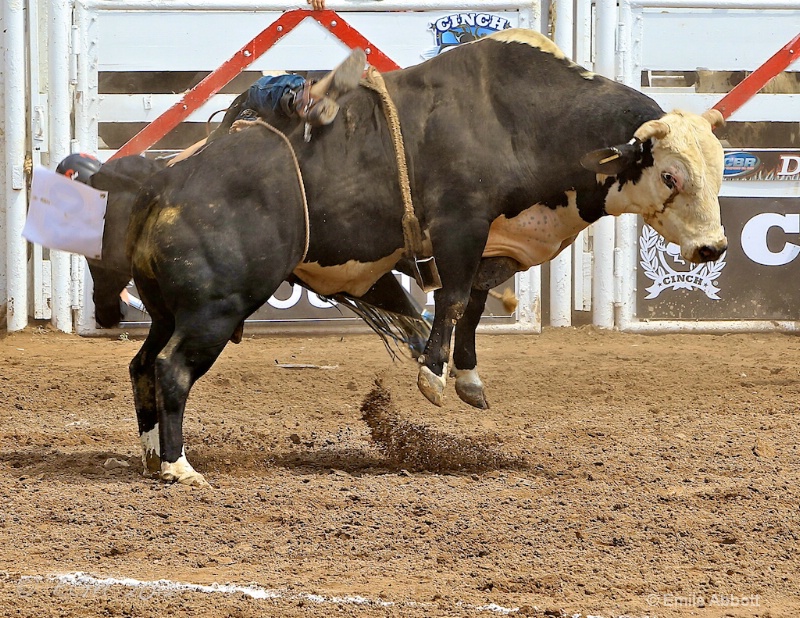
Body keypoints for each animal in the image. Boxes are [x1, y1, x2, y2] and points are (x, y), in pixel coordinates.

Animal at [86, 28, 724, 484]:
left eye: (719, 170)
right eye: (670, 175)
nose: (713, 246)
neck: (524, 121)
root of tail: (165, 180)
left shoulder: (493, 244)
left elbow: (473, 305)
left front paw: (467, 376)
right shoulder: (460, 226)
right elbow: (455, 298)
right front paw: (434, 376)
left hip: (170, 308)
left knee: (143, 366)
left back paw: (152, 457)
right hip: (215, 309)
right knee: (171, 368)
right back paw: (179, 467)